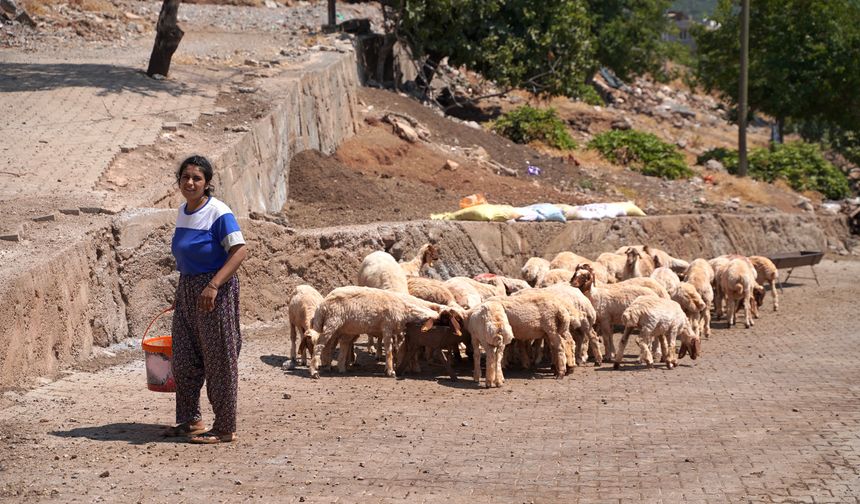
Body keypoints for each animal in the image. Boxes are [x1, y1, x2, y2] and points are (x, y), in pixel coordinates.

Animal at [308, 288, 456, 378]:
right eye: (445, 320)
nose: (455, 333)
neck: (405, 309)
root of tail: (322, 305)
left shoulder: (398, 331)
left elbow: (401, 349)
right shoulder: (387, 327)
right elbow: (389, 350)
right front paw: (391, 371)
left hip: (342, 328)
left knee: (335, 346)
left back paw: (337, 368)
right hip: (332, 323)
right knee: (320, 345)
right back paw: (315, 371)